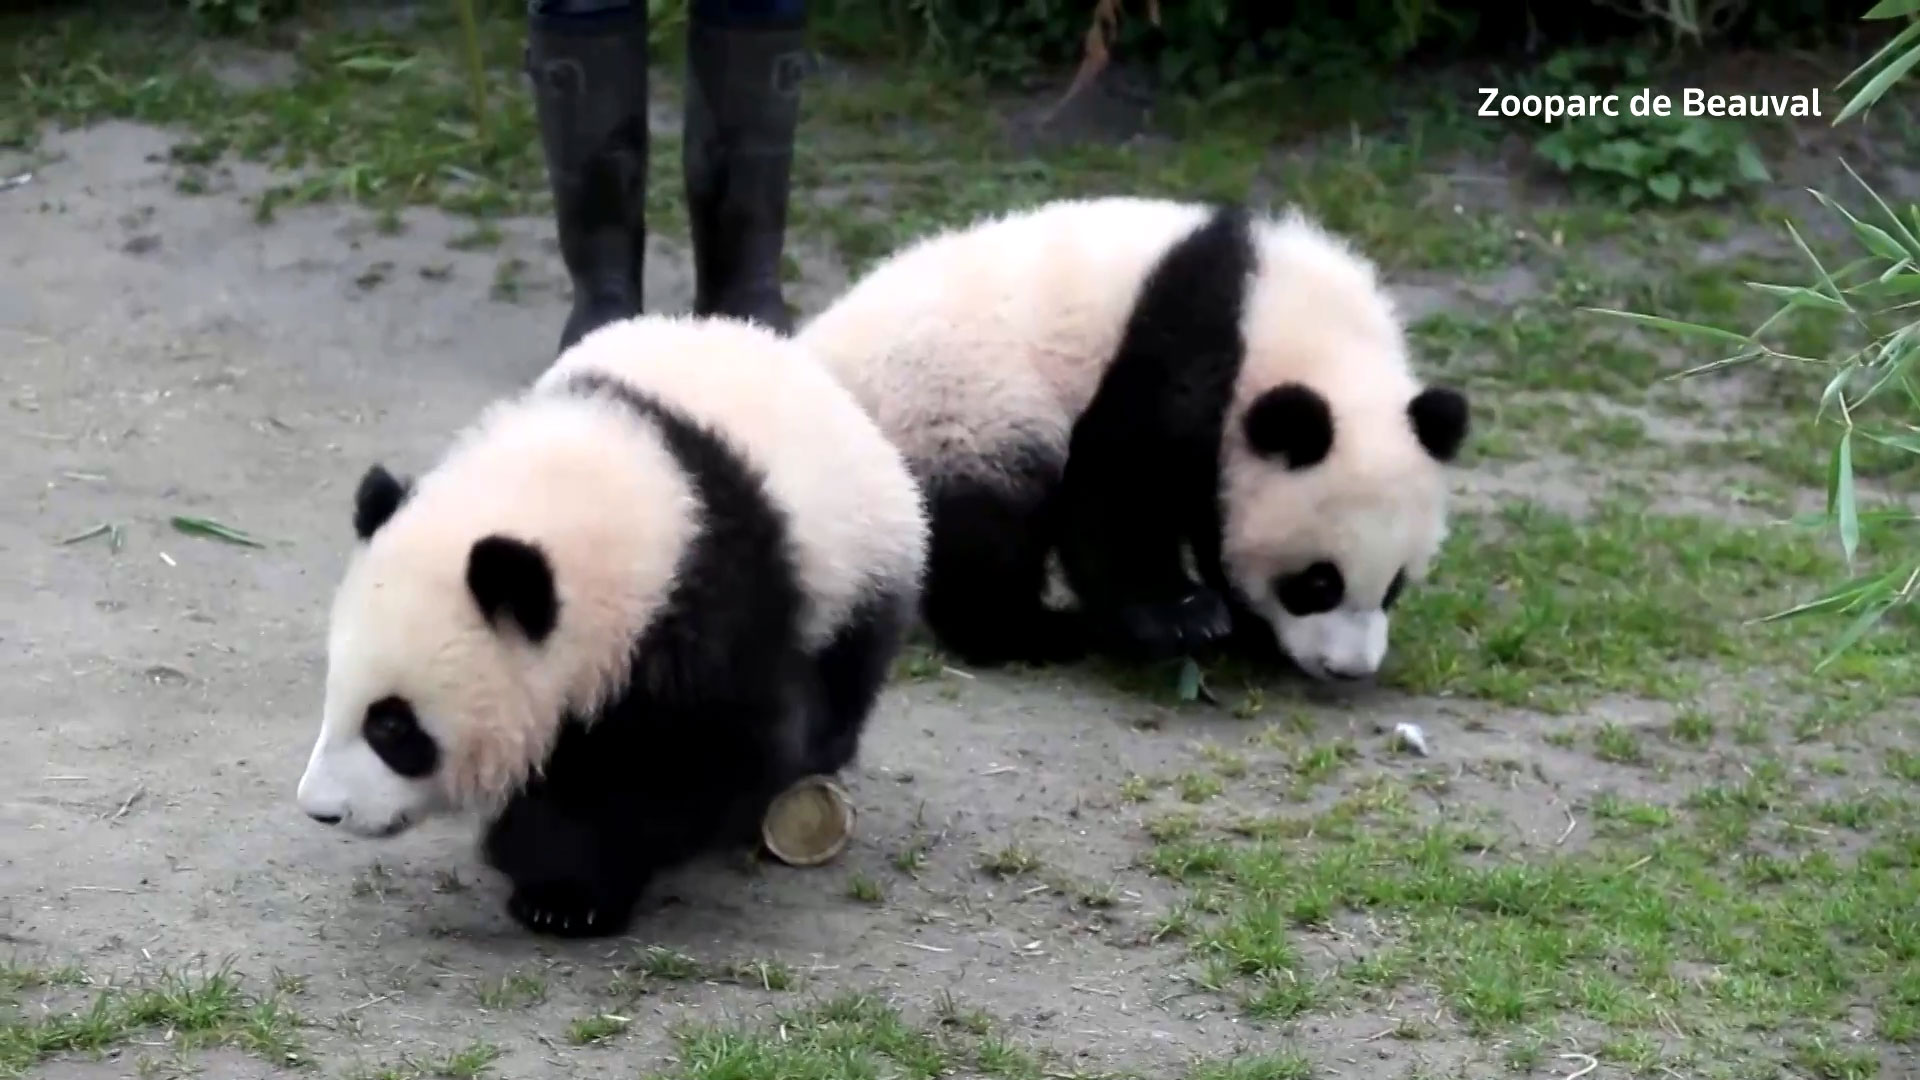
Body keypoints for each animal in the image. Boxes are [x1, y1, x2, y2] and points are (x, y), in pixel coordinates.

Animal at [295, 314, 928, 938]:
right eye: (335, 693)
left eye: (392, 726)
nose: (321, 810)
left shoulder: (707, 612)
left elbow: (692, 760)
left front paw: (561, 888)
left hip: (855, 570)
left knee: (840, 684)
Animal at [794, 196, 1470, 681]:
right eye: (1317, 583)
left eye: (1396, 584)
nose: (1350, 669)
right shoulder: (1187, 342)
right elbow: (1121, 485)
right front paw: (1185, 620)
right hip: (956, 401)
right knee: (986, 521)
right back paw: (1029, 631)